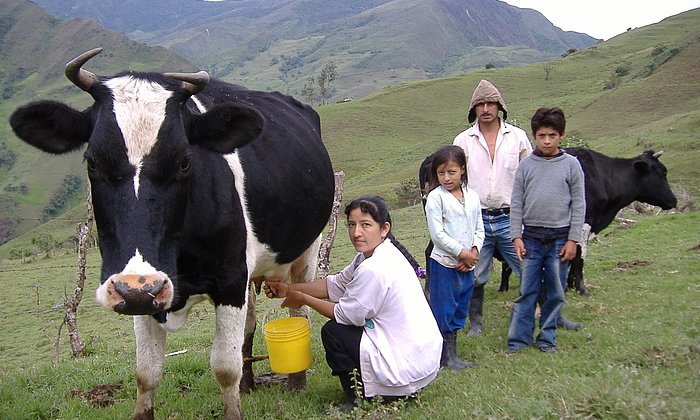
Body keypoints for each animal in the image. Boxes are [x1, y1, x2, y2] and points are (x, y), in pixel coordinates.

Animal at [10, 49, 334, 420]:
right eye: (92, 162)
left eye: (184, 161)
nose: (138, 288)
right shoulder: (143, 291)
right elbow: (146, 372)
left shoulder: (229, 278)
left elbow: (224, 367)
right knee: (251, 319)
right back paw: (250, 383)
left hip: (307, 249)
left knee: (299, 309)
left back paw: (296, 382)